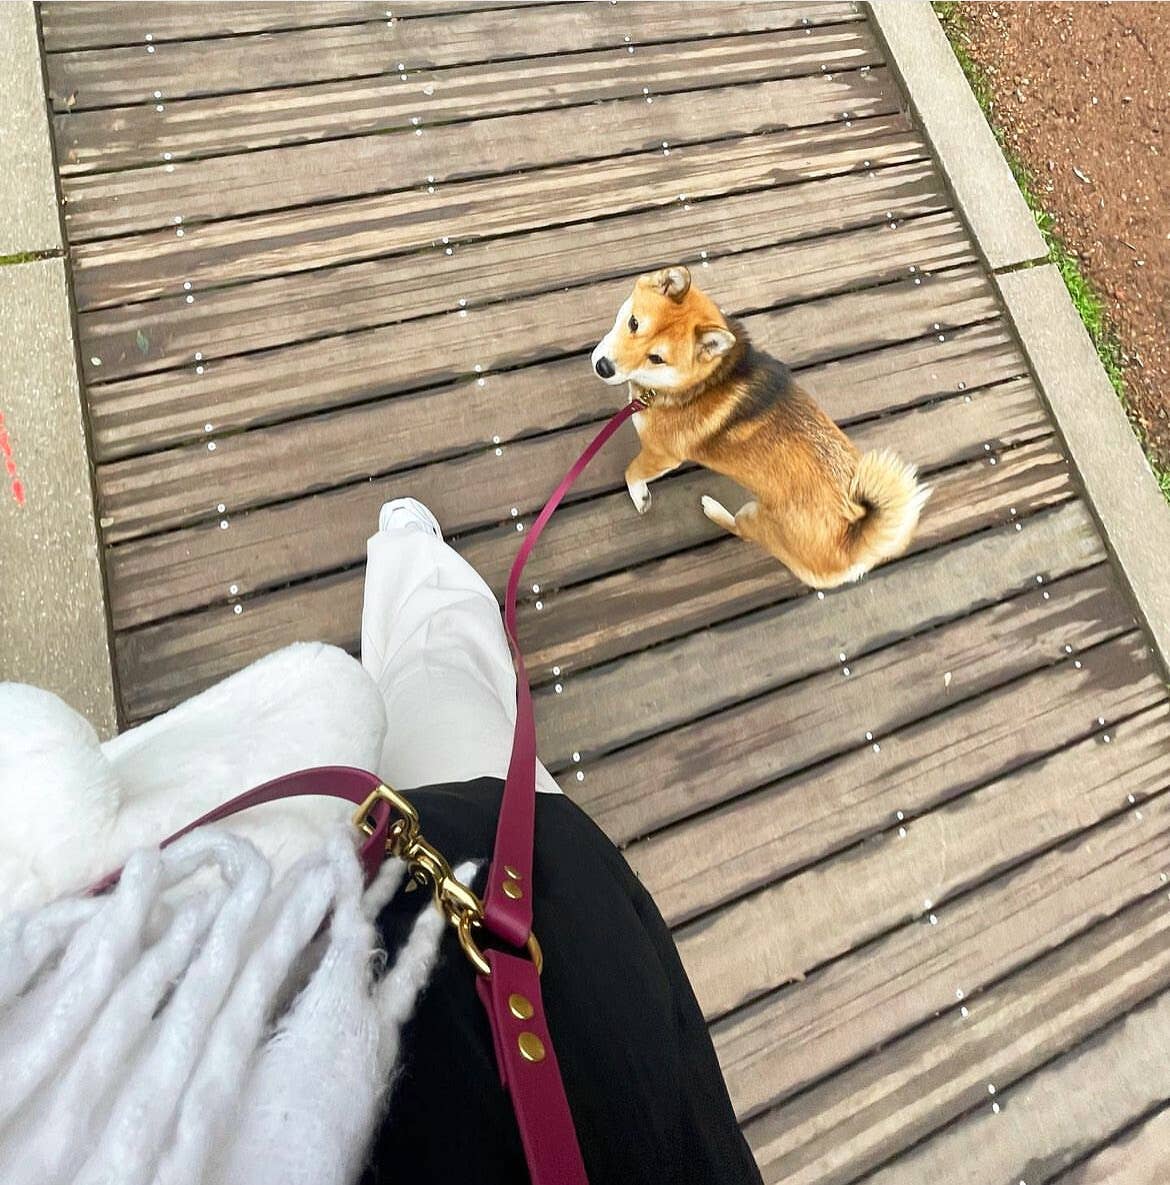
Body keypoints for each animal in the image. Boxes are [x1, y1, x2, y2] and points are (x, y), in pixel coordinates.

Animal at [595, 264, 934, 587]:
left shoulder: (661, 455)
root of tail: (854, 543)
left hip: (755, 516)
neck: (702, 381)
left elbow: (632, 472)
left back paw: (714, 509)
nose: (603, 367)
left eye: (657, 358)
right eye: (633, 323)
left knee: (741, 531)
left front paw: (639, 496)